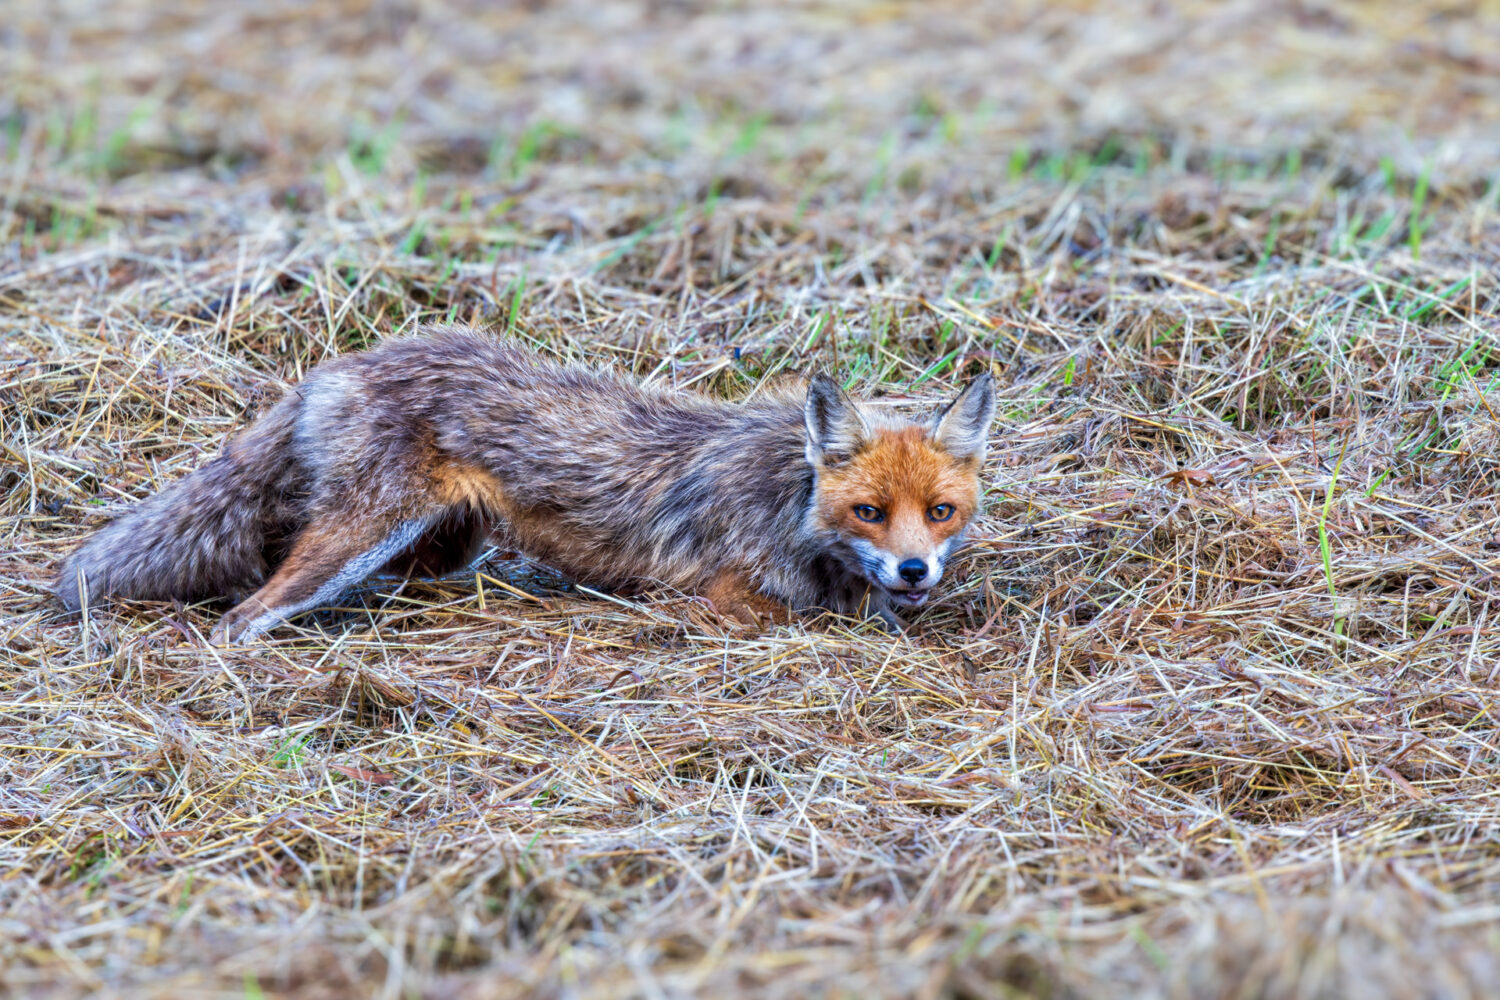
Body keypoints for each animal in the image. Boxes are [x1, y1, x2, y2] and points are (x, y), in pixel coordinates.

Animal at [58, 326, 996, 641]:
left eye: (939, 513)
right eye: (868, 512)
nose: (915, 570)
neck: (789, 508)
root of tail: (342, 363)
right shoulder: (720, 602)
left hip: (437, 545)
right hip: (356, 535)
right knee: (242, 615)